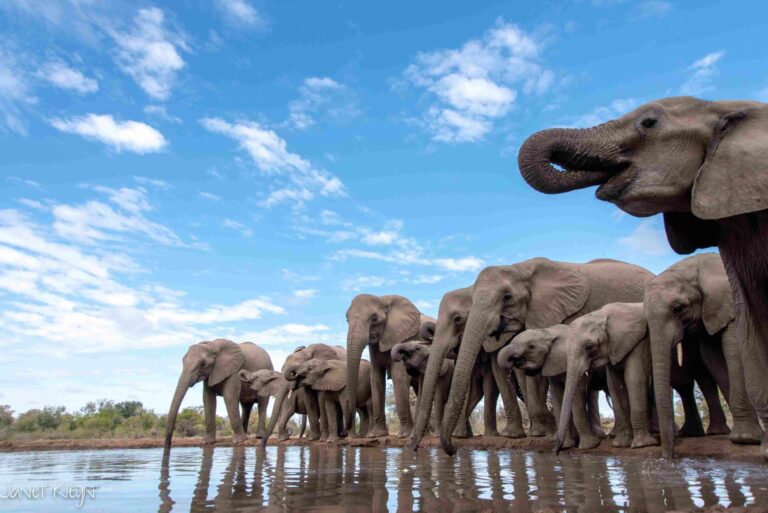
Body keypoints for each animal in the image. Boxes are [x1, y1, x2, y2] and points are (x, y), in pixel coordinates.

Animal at [344, 294, 434, 437]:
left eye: (374, 318)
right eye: (347, 319)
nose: (345, 430)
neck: (383, 300)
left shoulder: (404, 338)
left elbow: (399, 377)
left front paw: (403, 435)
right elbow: (376, 379)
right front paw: (376, 435)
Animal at [410, 286, 554, 451]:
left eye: (458, 319)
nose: (414, 447)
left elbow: (490, 384)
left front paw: (505, 436)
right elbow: (476, 388)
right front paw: (461, 435)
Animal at [553, 302, 657, 452]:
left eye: (589, 346)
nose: (556, 451)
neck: (601, 315)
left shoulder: (639, 341)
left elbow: (634, 379)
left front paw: (642, 445)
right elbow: (616, 385)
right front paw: (621, 444)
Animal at [644, 253, 764, 457]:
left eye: (678, 308)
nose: (667, 458)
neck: (694, 268)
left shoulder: (730, 302)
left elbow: (733, 351)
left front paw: (745, 439)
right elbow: (712, 358)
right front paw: (747, 435)